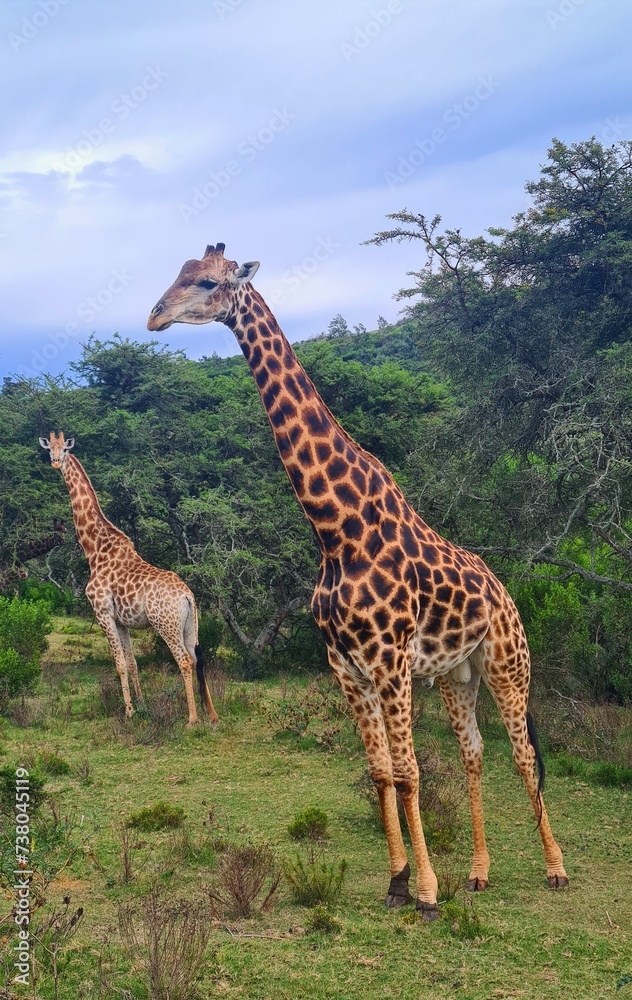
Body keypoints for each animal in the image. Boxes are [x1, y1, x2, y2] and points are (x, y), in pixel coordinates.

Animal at [39, 433, 218, 727]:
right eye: (48, 449)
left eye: (64, 450)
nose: (54, 462)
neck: (95, 549)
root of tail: (187, 596)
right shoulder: (121, 620)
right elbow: (132, 662)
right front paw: (142, 706)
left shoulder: (102, 613)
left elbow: (119, 663)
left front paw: (129, 712)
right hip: (191, 624)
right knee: (198, 658)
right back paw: (211, 714)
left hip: (166, 624)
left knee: (183, 660)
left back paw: (192, 719)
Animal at [147, 243, 568, 918]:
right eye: (177, 274)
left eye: (207, 282)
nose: (154, 316)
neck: (334, 529)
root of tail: (505, 591)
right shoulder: (346, 667)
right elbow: (379, 772)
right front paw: (397, 881)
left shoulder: (389, 664)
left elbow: (409, 773)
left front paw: (426, 892)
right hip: (456, 675)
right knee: (474, 753)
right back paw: (479, 873)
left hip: (509, 662)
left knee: (525, 755)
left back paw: (554, 869)